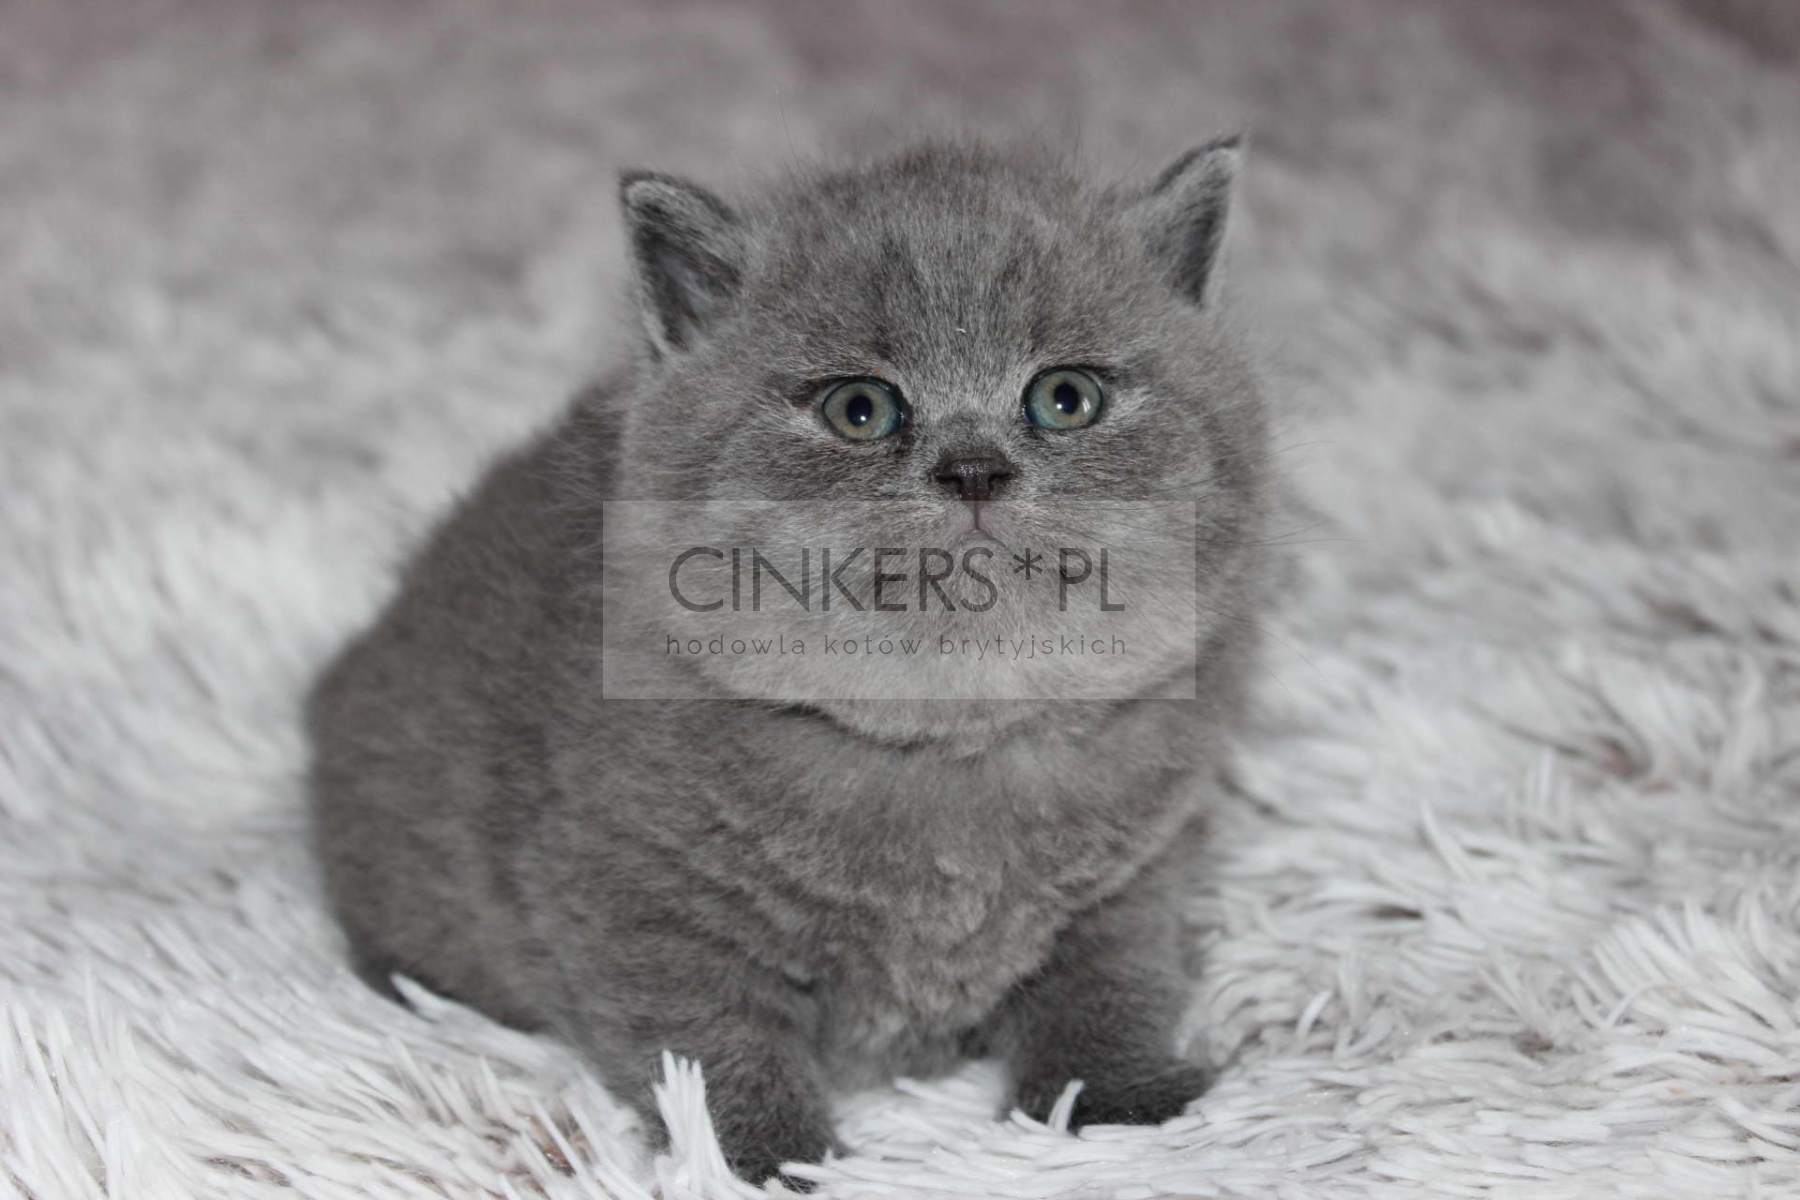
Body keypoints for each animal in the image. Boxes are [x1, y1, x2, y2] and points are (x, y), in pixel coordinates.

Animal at [307, 137, 1271, 1187]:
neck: (947, 758)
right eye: (861, 409)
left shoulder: (1136, 875)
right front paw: (770, 1162)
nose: (974, 470)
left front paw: (1121, 1108)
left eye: (1065, 398)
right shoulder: (636, 904)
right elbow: (705, 1049)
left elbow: (1113, 983)